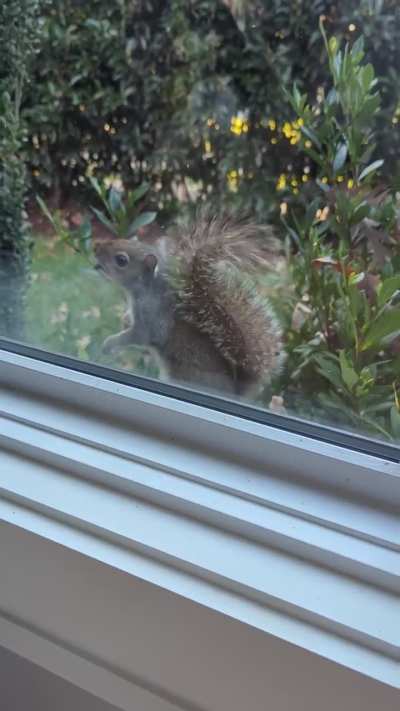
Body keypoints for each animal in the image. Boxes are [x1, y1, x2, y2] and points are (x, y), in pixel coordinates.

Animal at [94, 212, 284, 398]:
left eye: (121, 260)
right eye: (122, 240)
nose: (96, 247)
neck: (144, 290)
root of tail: (237, 391)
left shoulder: (152, 317)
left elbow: (139, 336)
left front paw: (109, 344)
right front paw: (125, 320)